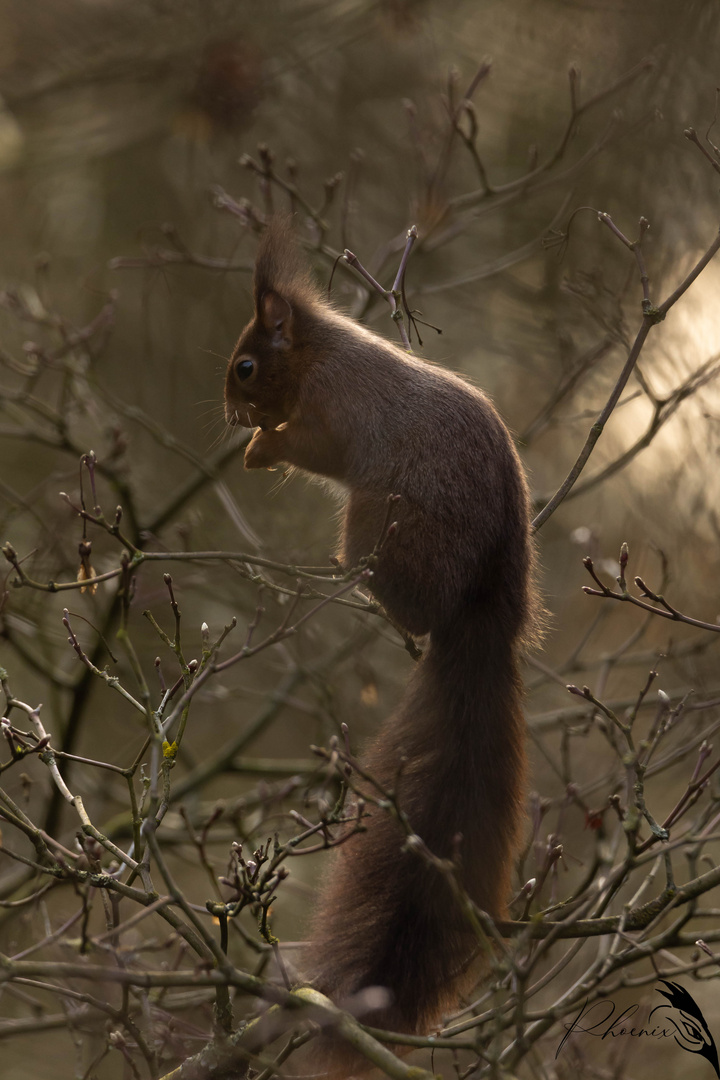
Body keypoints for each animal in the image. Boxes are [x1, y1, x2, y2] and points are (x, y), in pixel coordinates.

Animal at [225, 219, 539, 1071]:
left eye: (246, 365)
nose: (229, 412)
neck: (320, 353)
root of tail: (486, 605)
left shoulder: (331, 411)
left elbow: (310, 446)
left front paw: (263, 447)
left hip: (383, 520)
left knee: (407, 597)